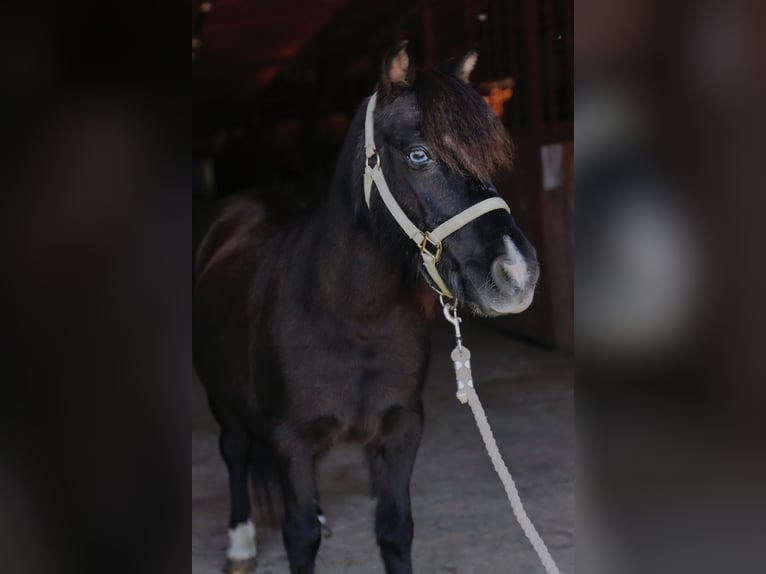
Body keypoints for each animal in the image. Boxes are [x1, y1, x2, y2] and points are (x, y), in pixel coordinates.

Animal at [193, 42, 539, 574]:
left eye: (488, 158)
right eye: (419, 155)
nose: (517, 274)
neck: (353, 321)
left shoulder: (401, 430)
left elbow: (394, 530)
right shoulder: (291, 439)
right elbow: (299, 538)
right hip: (221, 399)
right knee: (234, 452)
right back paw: (240, 544)